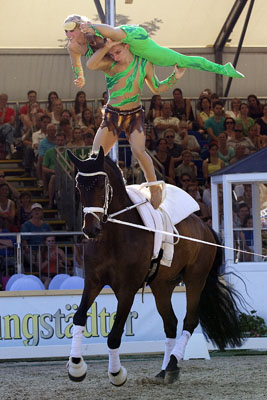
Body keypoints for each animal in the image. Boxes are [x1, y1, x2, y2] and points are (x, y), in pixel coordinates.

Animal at [66, 148, 243, 386]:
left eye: (101, 186)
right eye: (78, 187)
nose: (91, 229)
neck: (113, 235)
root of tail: (204, 226)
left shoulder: (127, 289)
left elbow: (114, 335)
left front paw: (117, 374)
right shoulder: (93, 282)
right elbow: (79, 317)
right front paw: (76, 367)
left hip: (195, 279)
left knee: (189, 321)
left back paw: (174, 364)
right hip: (162, 285)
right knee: (170, 323)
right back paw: (165, 370)